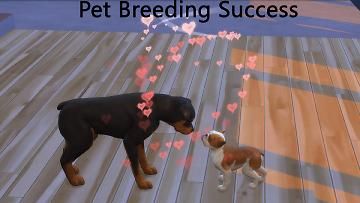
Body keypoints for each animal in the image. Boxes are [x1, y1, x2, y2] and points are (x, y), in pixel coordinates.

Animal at [57, 93, 195, 190]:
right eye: (187, 120)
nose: (193, 130)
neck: (155, 107)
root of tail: (65, 105)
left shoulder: (139, 141)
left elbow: (143, 158)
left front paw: (147, 170)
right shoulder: (129, 141)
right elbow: (135, 167)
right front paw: (142, 184)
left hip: (79, 138)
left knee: (66, 152)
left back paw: (73, 170)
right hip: (83, 140)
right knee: (63, 159)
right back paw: (74, 180)